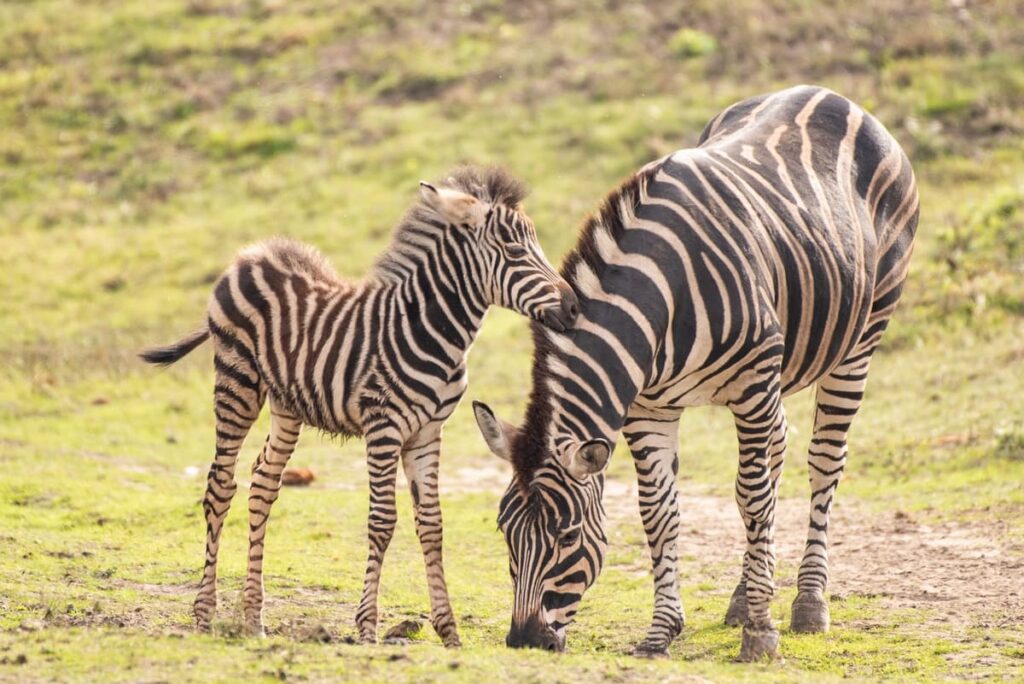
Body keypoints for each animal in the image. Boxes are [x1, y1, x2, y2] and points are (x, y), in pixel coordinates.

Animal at [140, 165, 581, 647]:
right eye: (514, 248)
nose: (574, 307)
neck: (433, 331)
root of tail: (251, 253)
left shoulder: (428, 432)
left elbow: (432, 525)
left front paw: (449, 633)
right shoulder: (384, 427)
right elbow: (383, 522)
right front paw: (367, 627)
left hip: (286, 404)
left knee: (263, 483)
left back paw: (254, 616)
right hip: (237, 382)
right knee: (220, 485)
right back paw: (204, 614)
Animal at [471, 83, 921, 655]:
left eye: (567, 534)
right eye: (503, 529)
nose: (524, 641)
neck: (662, 296)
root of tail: (831, 94)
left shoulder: (751, 386)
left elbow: (751, 500)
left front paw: (761, 633)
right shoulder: (649, 408)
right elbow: (659, 512)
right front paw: (662, 631)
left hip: (861, 337)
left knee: (822, 461)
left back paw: (807, 601)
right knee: (778, 450)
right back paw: (747, 594)